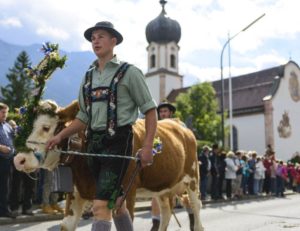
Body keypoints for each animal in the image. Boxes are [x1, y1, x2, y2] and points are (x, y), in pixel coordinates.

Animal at [14, 100, 204, 231]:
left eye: (46, 127)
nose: (19, 159)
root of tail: (179, 124)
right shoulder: (75, 193)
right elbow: (66, 225)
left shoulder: (126, 193)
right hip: (163, 188)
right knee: (166, 212)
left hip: (193, 179)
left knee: (196, 209)